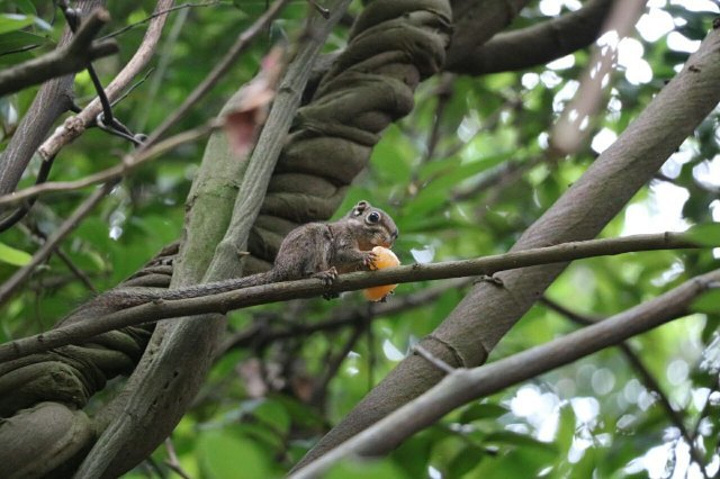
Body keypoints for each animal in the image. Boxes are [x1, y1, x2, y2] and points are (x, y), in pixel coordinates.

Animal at [107, 201, 400, 310]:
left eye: (395, 234)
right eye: (373, 217)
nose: (393, 236)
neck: (361, 238)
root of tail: (279, 270)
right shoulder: (341, 240)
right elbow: (345, 255)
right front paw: (365, 258)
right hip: (311, 244)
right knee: (304, 271)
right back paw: (320, 274)